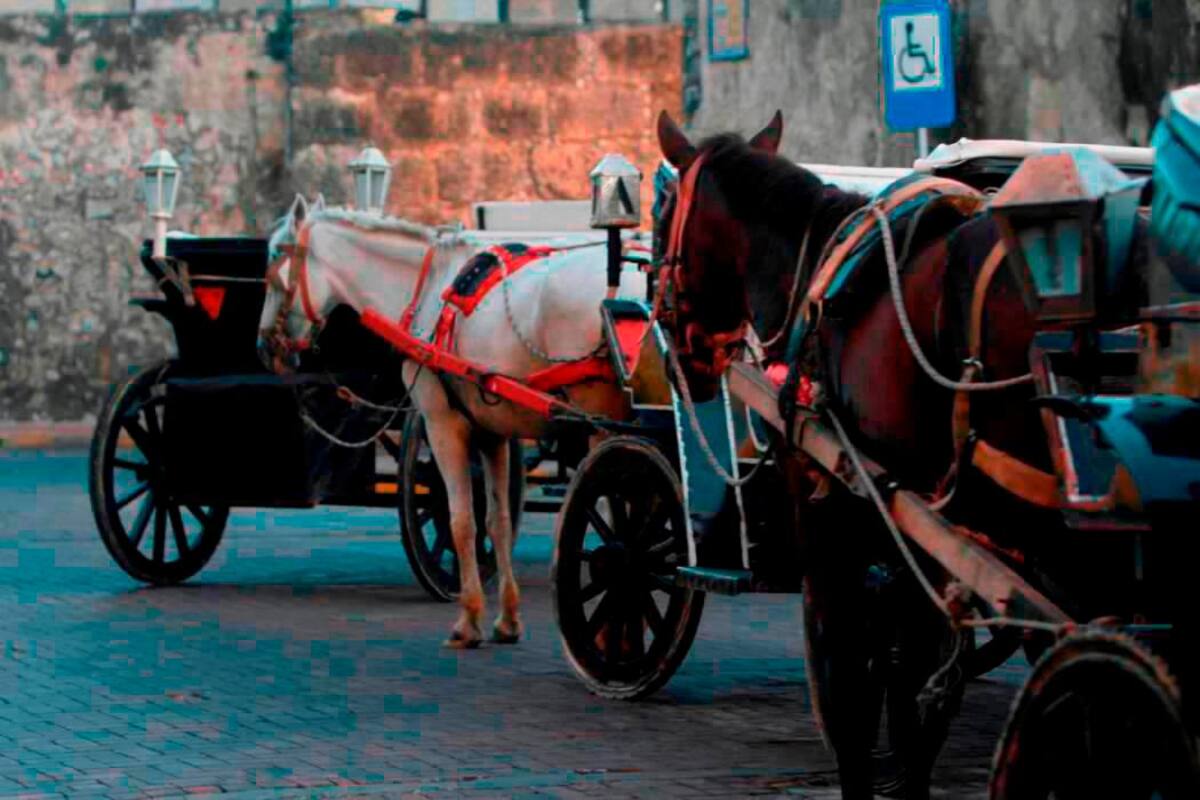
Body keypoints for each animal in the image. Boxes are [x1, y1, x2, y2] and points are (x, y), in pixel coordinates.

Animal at [257, 194, 646, 648]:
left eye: (274, 259)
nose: (265, 346)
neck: (428, 290)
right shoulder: (492, 433)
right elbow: (497, 522)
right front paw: (507, 619)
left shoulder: (442, 423)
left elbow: (461, 521)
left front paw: (469, 619)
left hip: (602, 424)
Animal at [653, 111, 1050, 799]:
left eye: (661, 220)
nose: (679, 356)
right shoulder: (919, 549)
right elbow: (915, 694)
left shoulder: (839, 524)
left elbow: (853, 694)